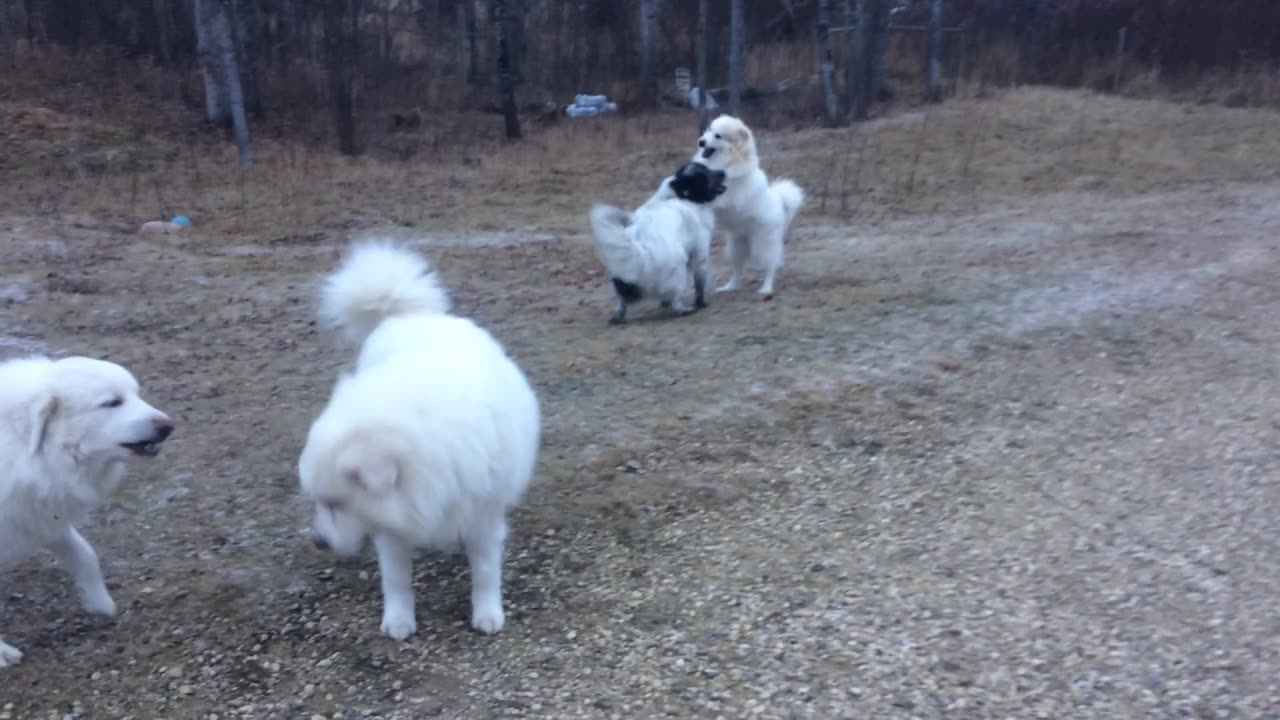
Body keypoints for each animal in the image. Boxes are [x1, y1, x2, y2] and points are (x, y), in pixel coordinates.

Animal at [0, 353, 174, 666]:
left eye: (136, 394)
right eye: (112, 403)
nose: (169, 426)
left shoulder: (43, 517)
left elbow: (85, 553)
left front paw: (99, 602)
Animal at [296, 242, 537, 638]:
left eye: (336, 504)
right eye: (321, 503)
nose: (319, 543)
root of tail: (410, 315)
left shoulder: (483, 515)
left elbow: (485, 572)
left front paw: (487, 612)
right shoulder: (391, 526)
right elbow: (396, 579)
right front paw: (398, 620)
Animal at [591, 161, 732, 324]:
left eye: (707, 168)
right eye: (704, 176)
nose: (723, 172)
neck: (680, 196)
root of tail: (640, 252)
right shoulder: (700, 255)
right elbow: (700, 284)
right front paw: (701, 303)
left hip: (621, 277)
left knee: (622, 301)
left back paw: (619, 316)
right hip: (678, 270)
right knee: (675, 297)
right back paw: (683, 309)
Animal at [696, 114, 803, 297]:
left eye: (718, 136)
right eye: (708, 130)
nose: (701, 142)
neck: (726, 162)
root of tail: (780, 204)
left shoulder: (724, 197)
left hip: (764, 244)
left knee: (770, 267)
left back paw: (766, 289)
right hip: (736, 247)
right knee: (738, 270)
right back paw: (730, 287)